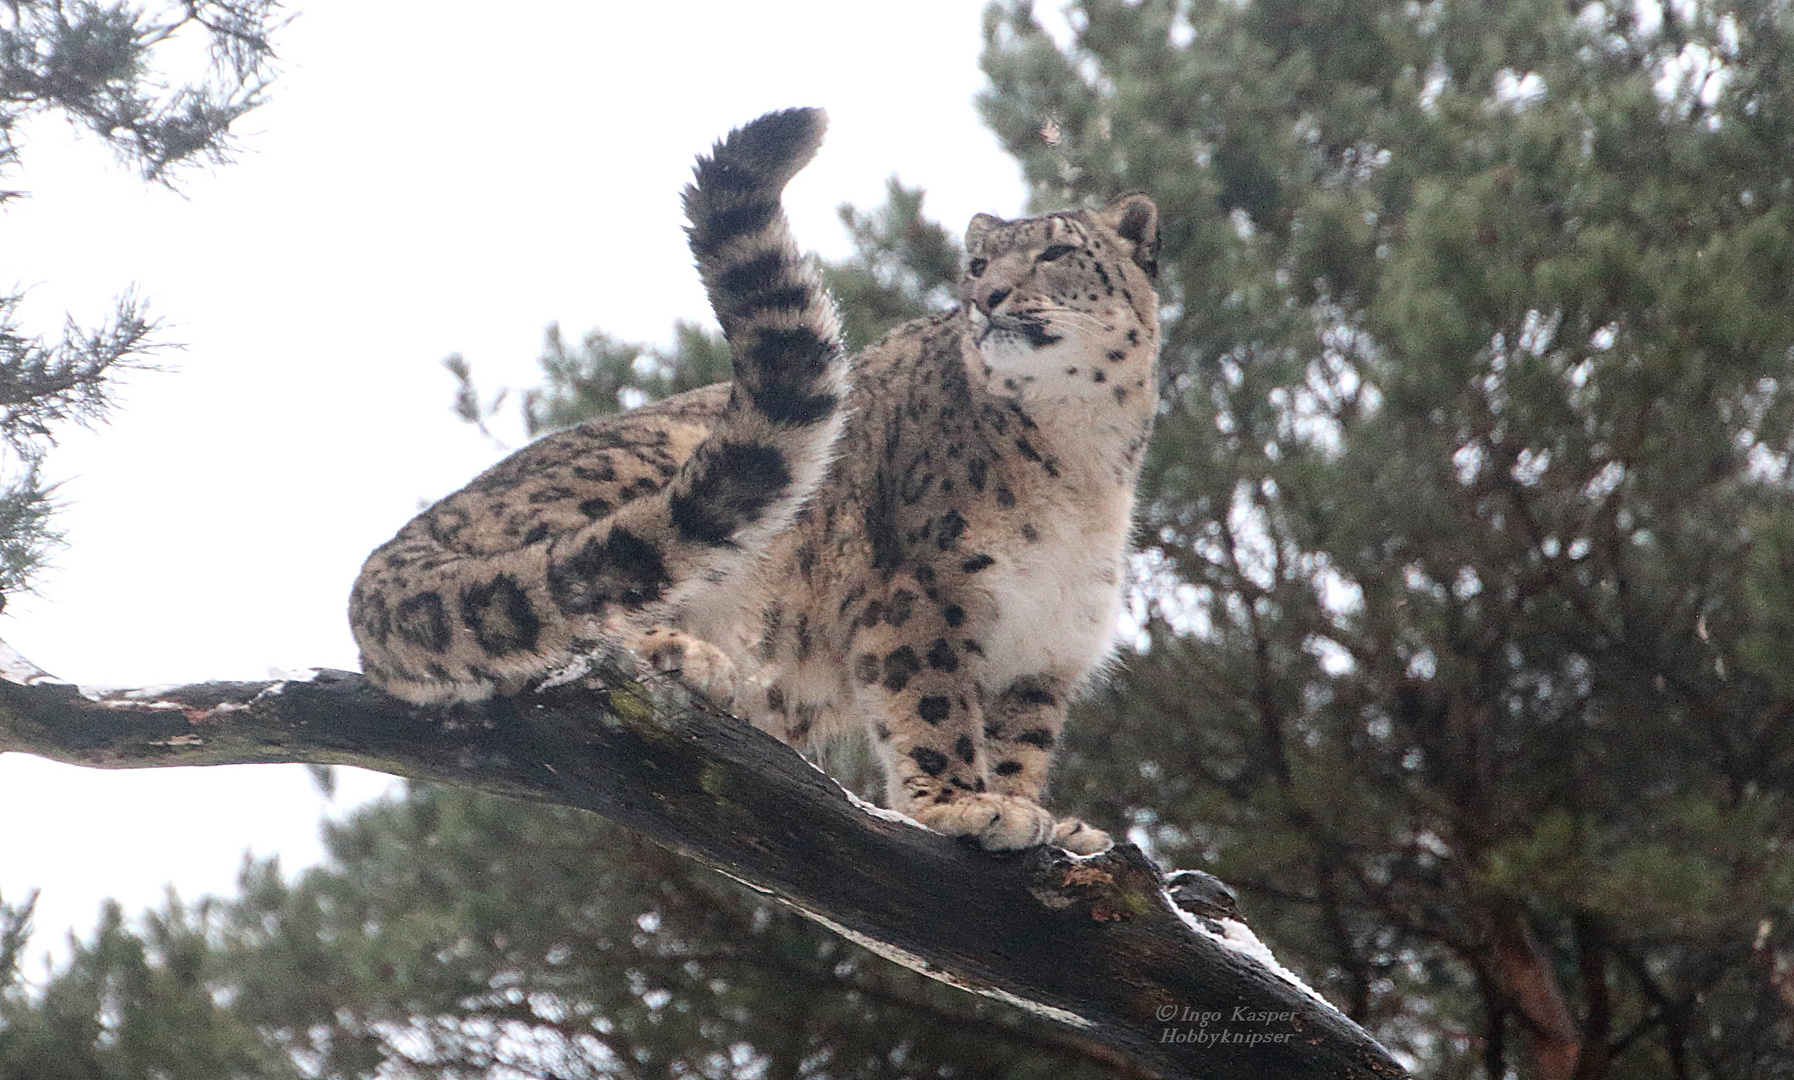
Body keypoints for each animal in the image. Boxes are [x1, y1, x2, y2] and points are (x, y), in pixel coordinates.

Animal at [349, 107, 1162, 850]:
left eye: (1055, 251)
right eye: (978, 265)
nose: (986, 298)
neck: (1084, 457)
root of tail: (396, 546)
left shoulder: (1045, 649)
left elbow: (1020, 745)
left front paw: (1047, 824)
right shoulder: (922, 591)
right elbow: (933, 707)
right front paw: (964, 807)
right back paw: (690, 659)